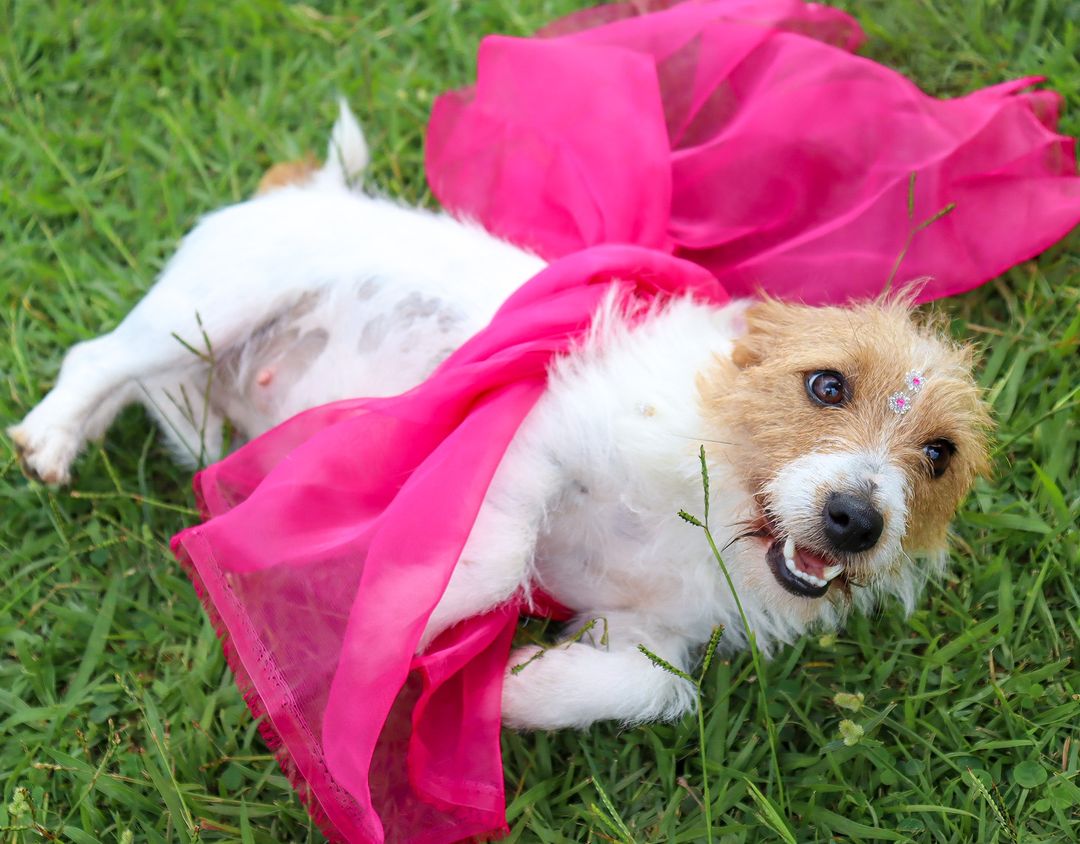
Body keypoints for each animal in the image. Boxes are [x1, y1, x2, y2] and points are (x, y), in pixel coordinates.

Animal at [8, 102, 989, 726]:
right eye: (826, 386)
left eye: (939, 455)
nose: (857, 519)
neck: (715, 505)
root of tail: (305, 189)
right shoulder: (539, 432)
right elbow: (495, 559)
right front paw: (396, 627)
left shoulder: (652, 634)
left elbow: (653, 689)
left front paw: (513, 689)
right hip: (208, 307)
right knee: (98, 358)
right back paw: (52, 438)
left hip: (201, 351)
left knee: (155, 395)